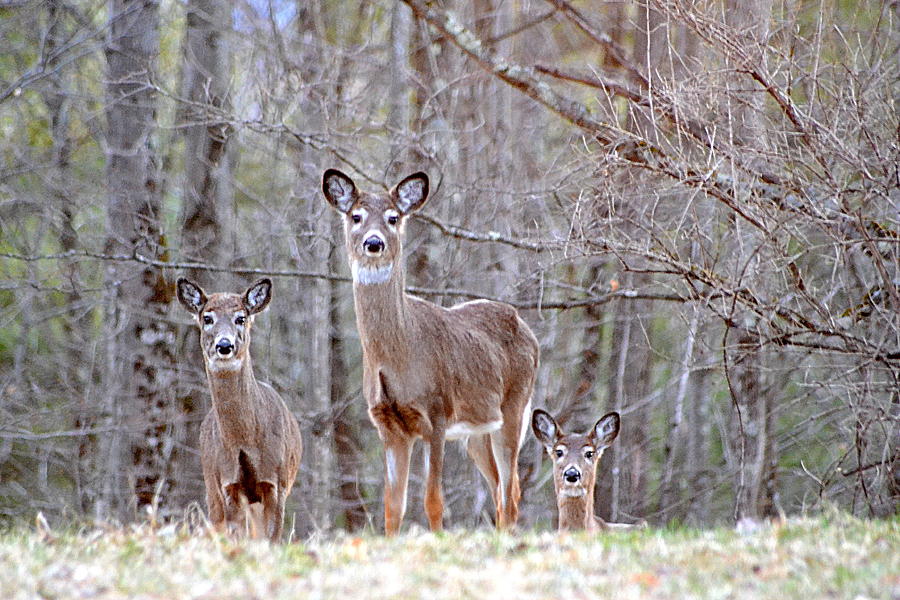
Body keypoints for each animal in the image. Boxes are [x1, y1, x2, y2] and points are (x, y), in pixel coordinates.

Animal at [176, 278, 302, 540]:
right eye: (207, 318)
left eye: (241, 318)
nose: (225, 345)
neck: (245, 440)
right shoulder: (228, 484)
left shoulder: (276, 482)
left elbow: (272, 538)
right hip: (211, 488)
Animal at [322, 169, 536, 536]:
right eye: (356, 216)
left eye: (393, 218)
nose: (374, 243)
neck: (398, 357)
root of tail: (526, 327)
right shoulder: (388, 425)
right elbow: (393, 507)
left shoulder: (436, 414)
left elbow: (433, 500)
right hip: (478, 431)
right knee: (501, 489)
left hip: (515, 407)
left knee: (510, 492)